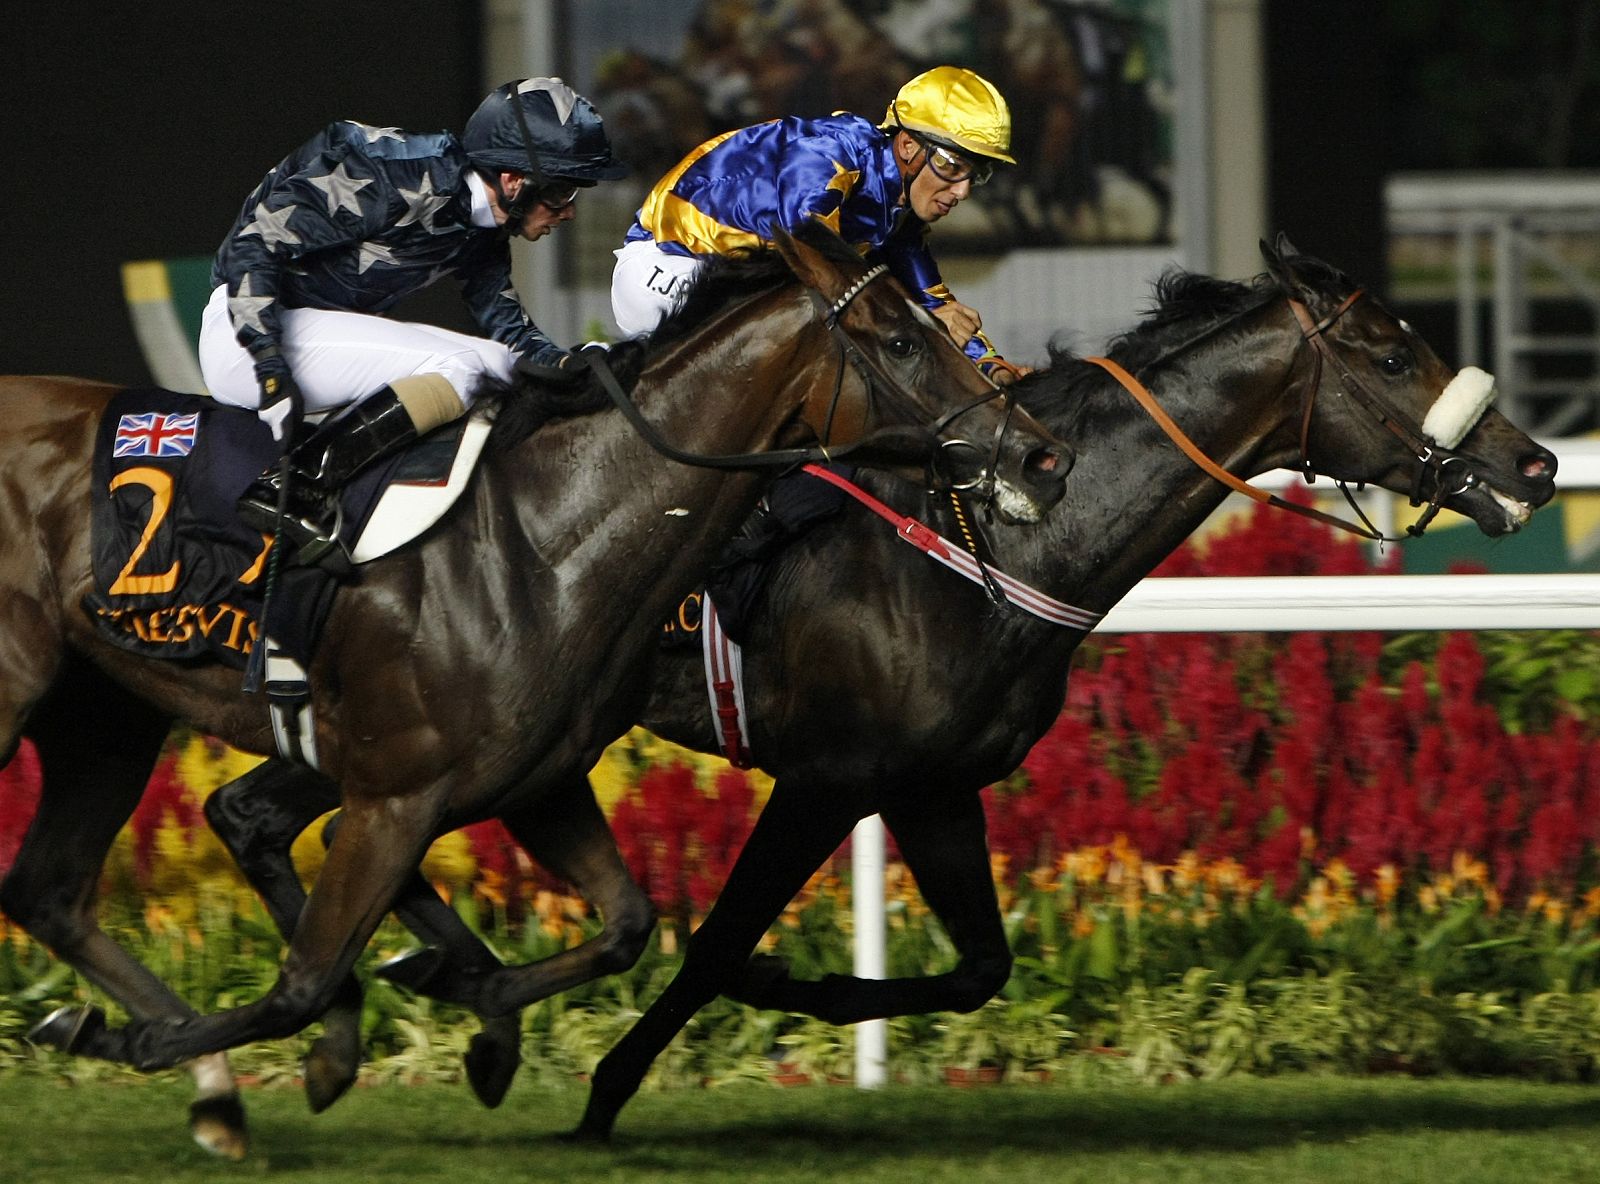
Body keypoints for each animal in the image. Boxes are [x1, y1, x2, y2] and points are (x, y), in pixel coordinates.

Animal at [3, 219, 1075, 1158]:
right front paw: (120, 1036)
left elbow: (626, 927)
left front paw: (470, 1014)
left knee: (51, 891)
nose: (1038, 455)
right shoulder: (395, 796)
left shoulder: (538, 782)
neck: (547, 537)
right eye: (899, 338)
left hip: (102, 719)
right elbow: (302, 983)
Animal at [196, 232, 1548, 1139]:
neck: (1001, 545)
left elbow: (979, 967)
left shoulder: (936, 784)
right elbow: (715, 943)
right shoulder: (829, 775)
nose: (1532, 464)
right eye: (1392, 350)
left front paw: (792, 989)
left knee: (258, 811)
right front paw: (610, 1088)